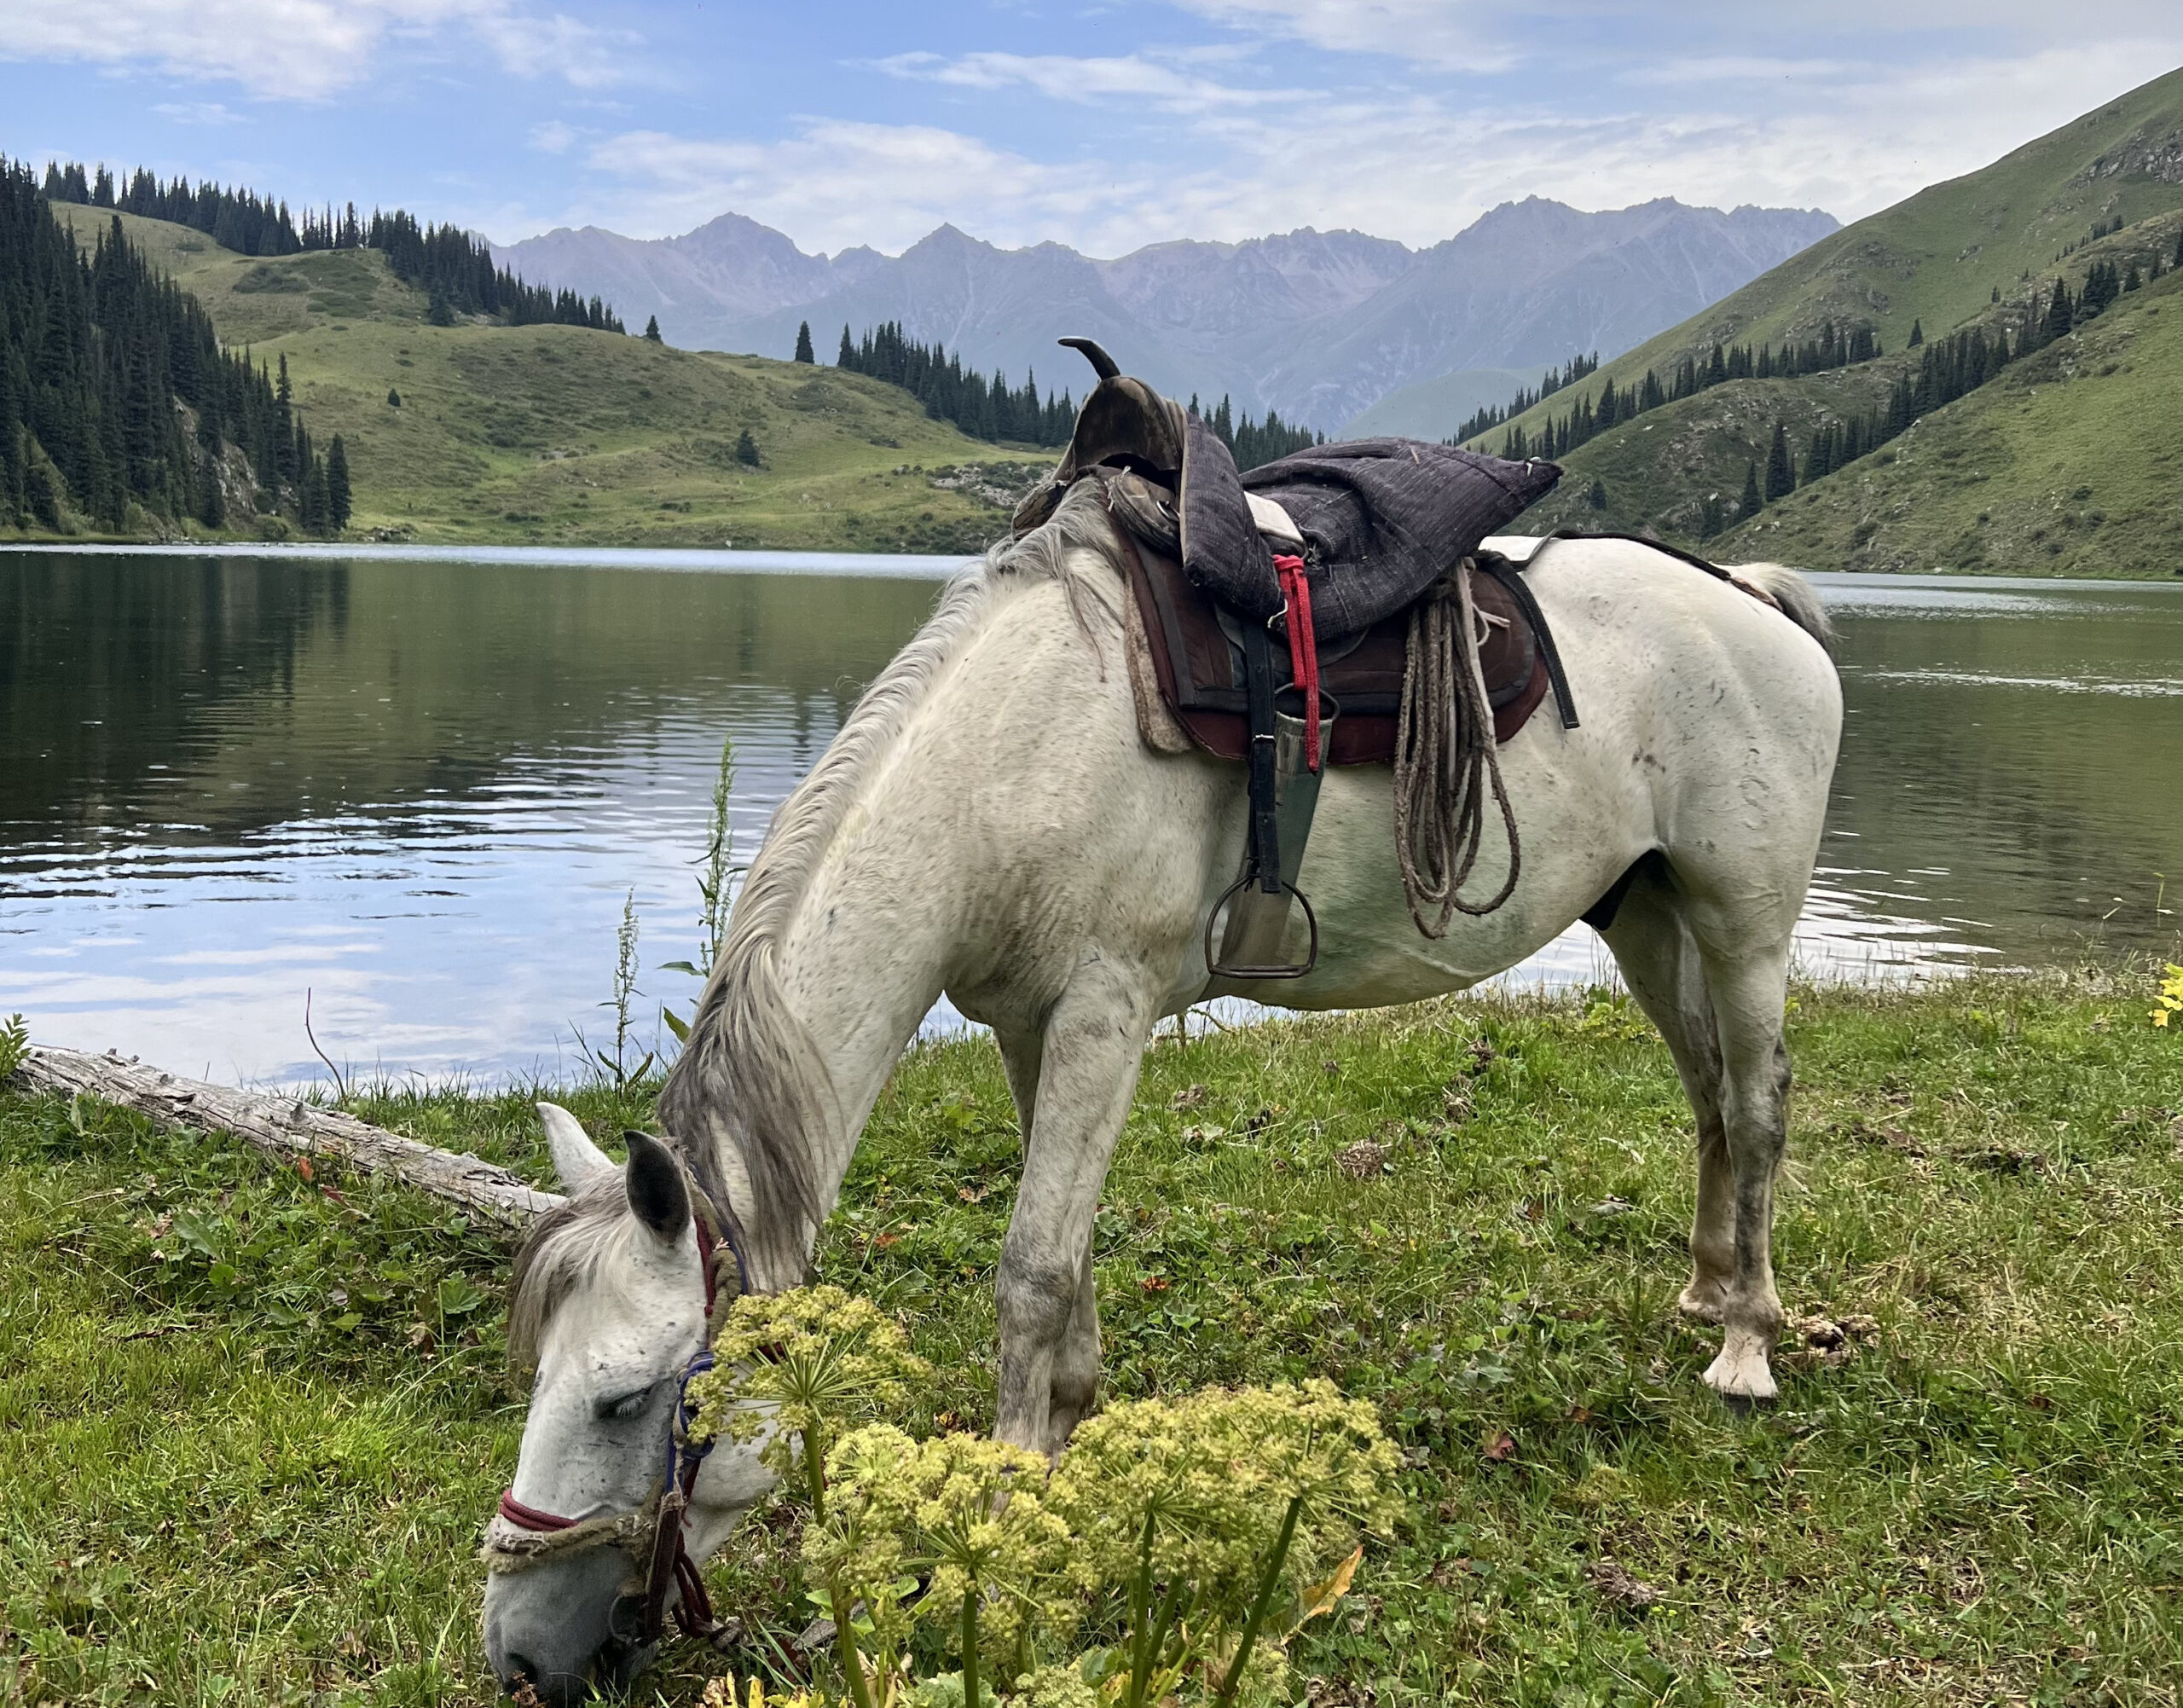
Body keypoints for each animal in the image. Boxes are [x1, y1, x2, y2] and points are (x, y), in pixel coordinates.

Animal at [478, 489, 1842, 1703]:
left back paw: (1746, 1342)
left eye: (626, 1398)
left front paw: (1004, 1526)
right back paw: (1705, 1283)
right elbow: (1067, 1264)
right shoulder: (1028, 1024)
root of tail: (1753, 600)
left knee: (1760, 1101)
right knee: (1707, 1093)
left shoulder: (1106, 1007)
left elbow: (1029, 1272)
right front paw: (1065, 1450)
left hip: (1743, 922)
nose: (517, 1656)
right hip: (1646, 912)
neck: (1006, 759)